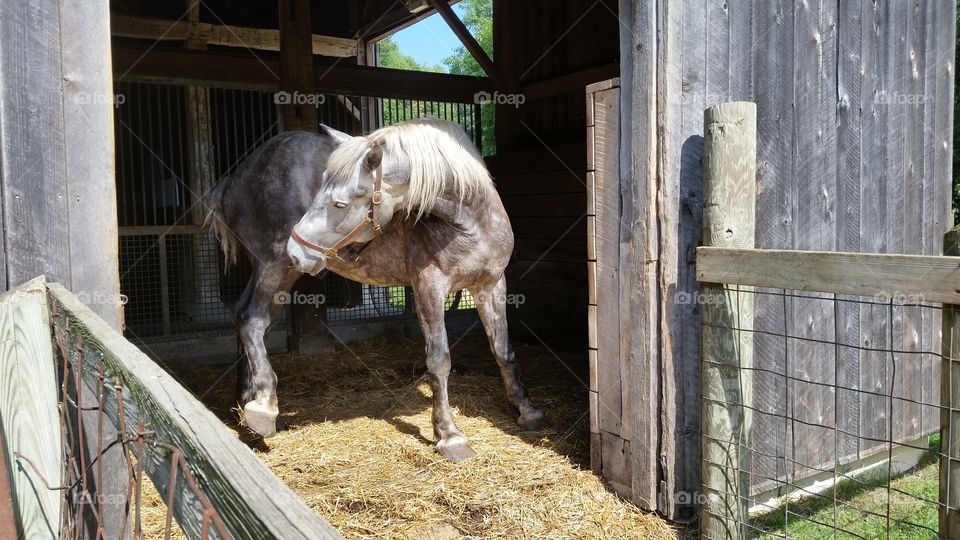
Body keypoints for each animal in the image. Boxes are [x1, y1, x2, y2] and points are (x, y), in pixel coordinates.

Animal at [209, 118, 545, 461]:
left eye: (340, 203)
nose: (296, 249)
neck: (469, 224)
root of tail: (235, 178)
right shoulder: (429, 288)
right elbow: (439, 360)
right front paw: (450, 434)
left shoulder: (492, 285)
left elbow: (504, 350)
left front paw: (526, 409)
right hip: (275, 268)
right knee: (252, 321)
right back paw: (264, 406)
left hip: (270, 270)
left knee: (241, 316)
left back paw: (247, 399)